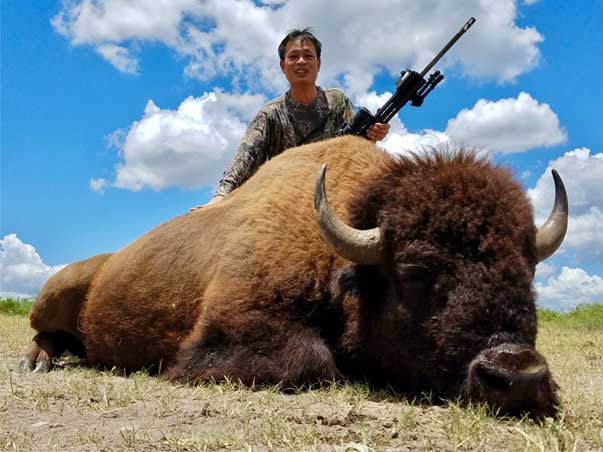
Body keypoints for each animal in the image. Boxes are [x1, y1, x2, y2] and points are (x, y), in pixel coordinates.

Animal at [18, 134, 568, 416]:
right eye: (415, 269)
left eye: (529, 269)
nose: (518, 376)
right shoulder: (229, 330)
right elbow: (311, 361)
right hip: (56, 291)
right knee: (43, 331)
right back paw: (37, 362)